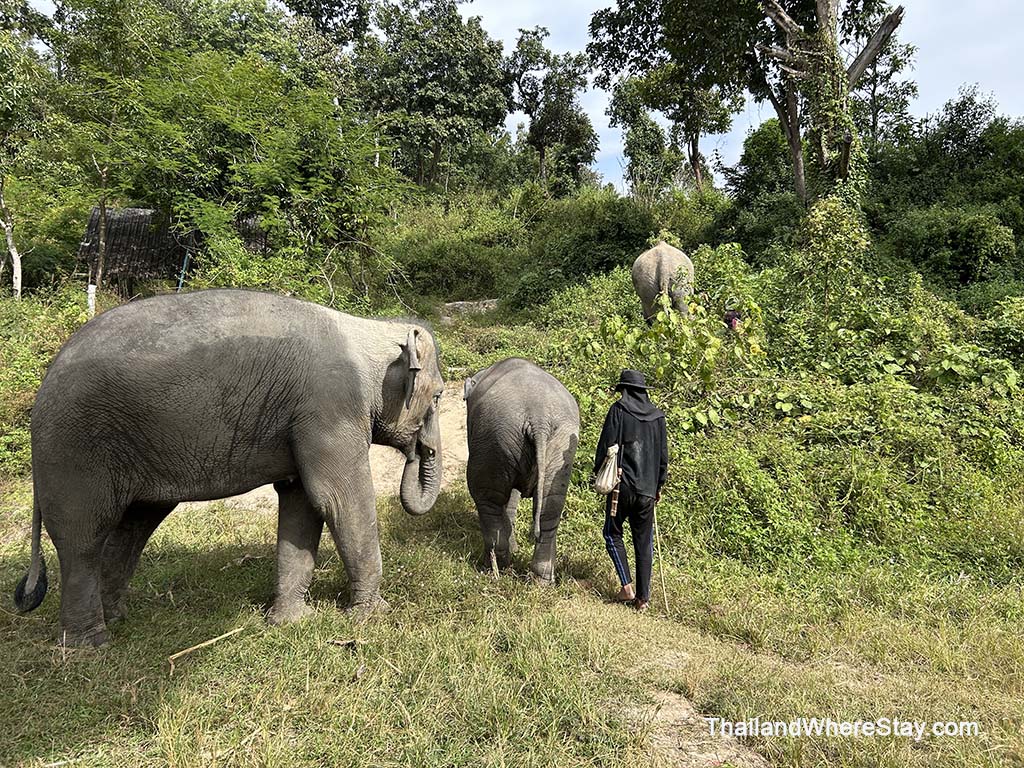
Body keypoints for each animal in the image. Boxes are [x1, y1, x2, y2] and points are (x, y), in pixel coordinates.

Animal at [13, 289, 444, 646]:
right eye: (438, 395)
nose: (419, 449)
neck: (364, 329)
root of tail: (46, 381)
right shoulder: (330, 408)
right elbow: (338, 499)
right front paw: (372, 616)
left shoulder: (305, 420)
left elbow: (302, 503)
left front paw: (290, 622)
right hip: (76, 449)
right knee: (83, 539)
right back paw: (90, 645)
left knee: (132, 527)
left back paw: (117, 619)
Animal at [463, 358, 579, 584]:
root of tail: (539, 417)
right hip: (560, 443)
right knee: (551, 506)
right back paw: (542, 580)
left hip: (494, 436)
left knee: (487, 498)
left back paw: (493, 567)